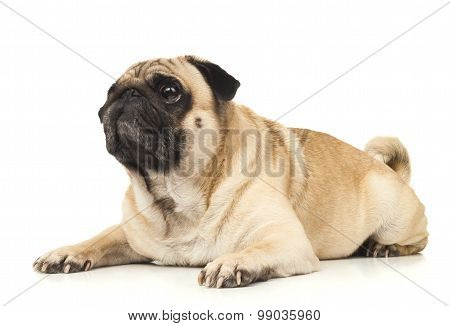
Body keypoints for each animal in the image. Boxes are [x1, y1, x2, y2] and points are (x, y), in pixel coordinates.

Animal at [32, 55, 428, 288]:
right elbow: (100, 238)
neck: (175, 192)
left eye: (170, 91)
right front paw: (67, 252)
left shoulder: (285, 239)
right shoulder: (132, 235)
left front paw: (231, 264)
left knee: (419, 241)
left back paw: (384, 247)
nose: (126, 94)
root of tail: (391, 172)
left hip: (395, 216)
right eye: (109, 94)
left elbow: (255, 250)